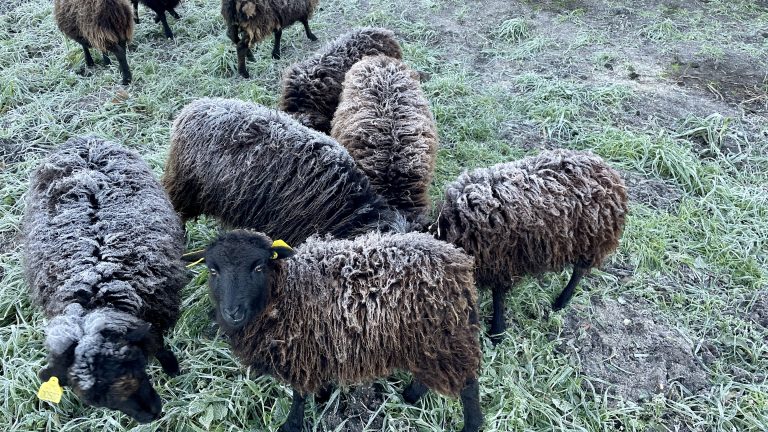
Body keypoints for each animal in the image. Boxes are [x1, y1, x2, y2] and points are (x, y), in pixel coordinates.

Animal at [22, 136, 189, 422]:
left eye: (135, 366)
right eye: (94, 399)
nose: (152, 414)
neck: (95, 291)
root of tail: (85, 138)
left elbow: (159, 345)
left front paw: (172, 367)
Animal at [195, 229, 483, 432]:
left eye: (258, 267)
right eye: (213, 270)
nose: (233, 312)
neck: (286, 291)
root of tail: (458, 262)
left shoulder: (302, 351)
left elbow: (298, 396)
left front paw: (291, 425)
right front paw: (322, 396)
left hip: (447, 334)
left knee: (468, 384)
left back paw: (470, 425)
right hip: (425, 339)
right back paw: (409, 396)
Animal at [432, 149, 628, 343]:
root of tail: (608, 171)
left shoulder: (500, 261)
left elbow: (498, 296)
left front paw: (497, 332)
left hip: (592, 240)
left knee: (579, 271)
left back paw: (561, 301)